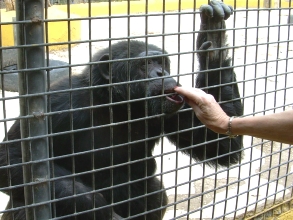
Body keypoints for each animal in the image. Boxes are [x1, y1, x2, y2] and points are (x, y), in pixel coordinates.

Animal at [0, 0, 242, 219]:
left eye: (161, 62)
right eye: (146, 64)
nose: (161, 73)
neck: (117, 107)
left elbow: (219, 144)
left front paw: (214, 42)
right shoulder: (60, 103)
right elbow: (12, 157)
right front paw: (93, 206)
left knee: (155, 192)